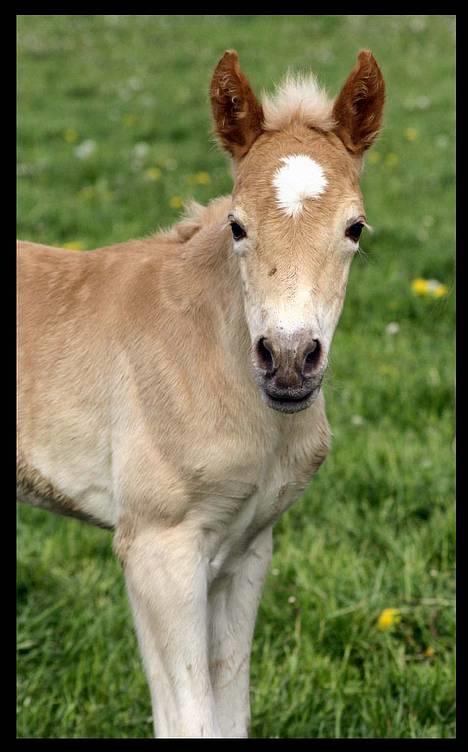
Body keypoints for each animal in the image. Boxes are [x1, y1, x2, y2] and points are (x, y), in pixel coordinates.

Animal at [16, 50, 386, 736]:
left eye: (355, 228)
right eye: (237, 226)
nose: (288, 362)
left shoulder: (246, 551)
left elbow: (230, 712)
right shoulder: (159, 548)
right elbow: (188, 719)